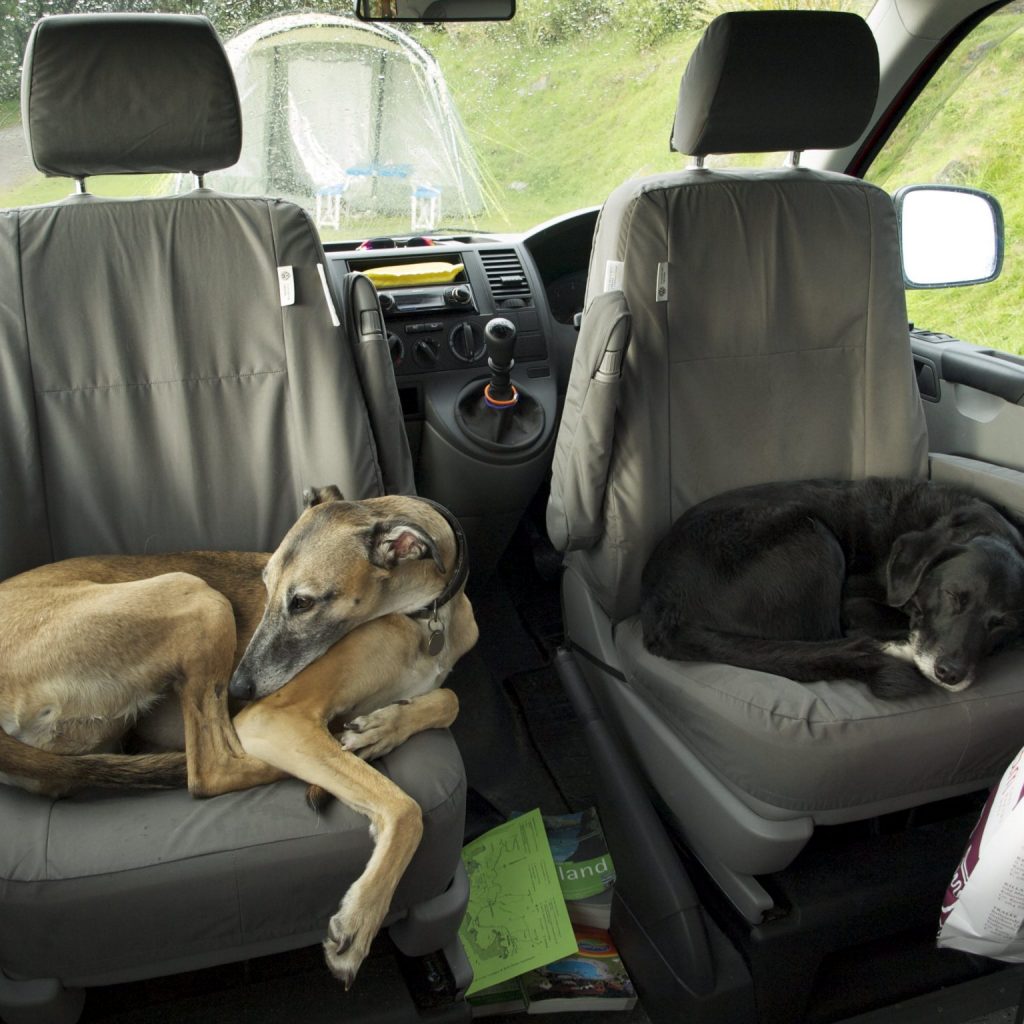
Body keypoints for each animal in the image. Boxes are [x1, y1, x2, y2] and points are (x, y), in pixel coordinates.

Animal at [0, 491, 477, 987]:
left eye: (302, 602)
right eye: (266, 587)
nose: (240, 689)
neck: (425, 617)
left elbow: (449, 698)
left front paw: (384, 726)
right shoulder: (274, 717)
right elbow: (405, 808)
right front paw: (360, 920)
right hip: (195, 596)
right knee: (211, 770)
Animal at [638, 477, 1024, 700]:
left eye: (1001, 623)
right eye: (952, 596)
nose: (950, 674)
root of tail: (663, 609)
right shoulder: (851, 601)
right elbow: (894, 620)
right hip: (814, 535)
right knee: (826, 641)